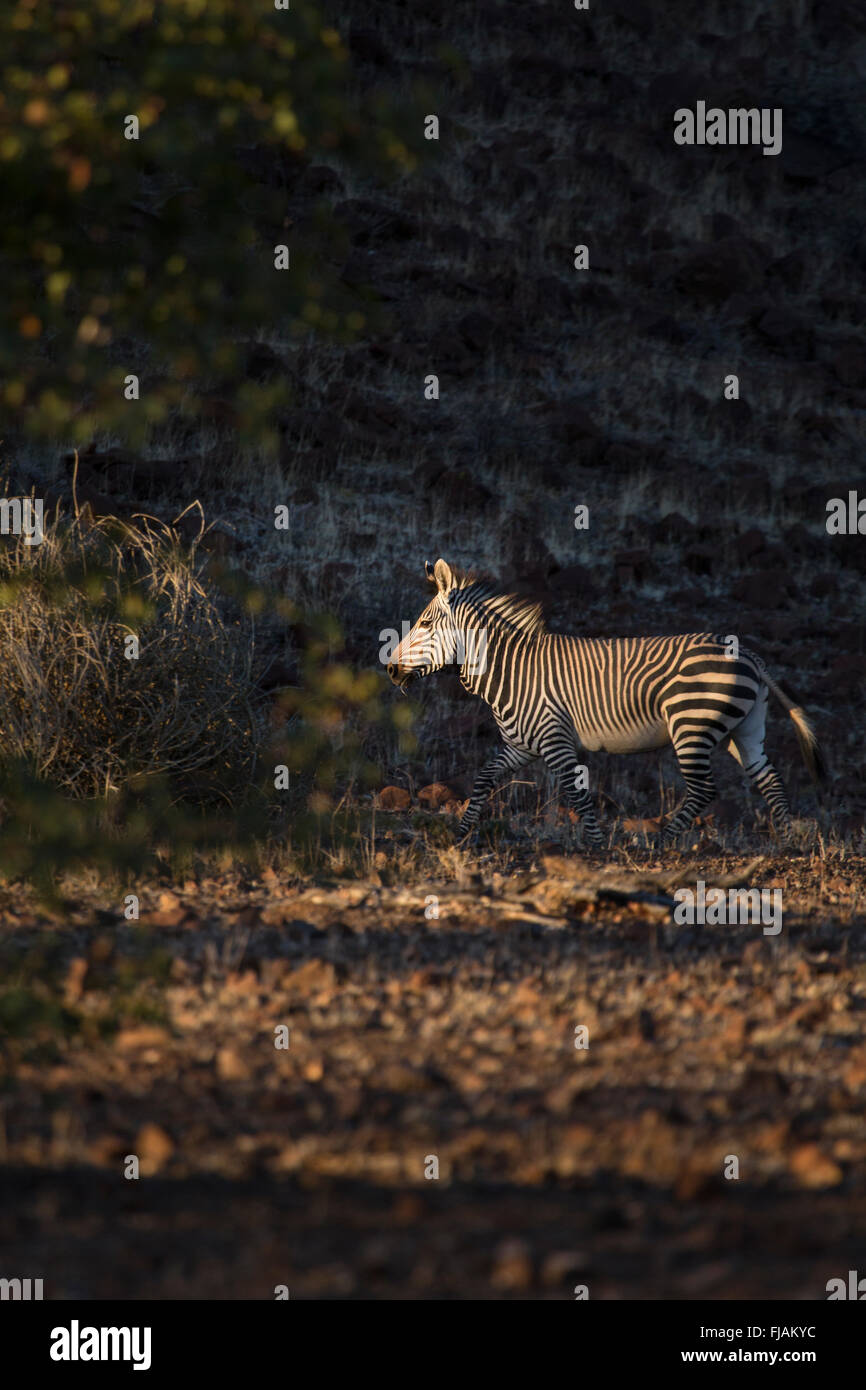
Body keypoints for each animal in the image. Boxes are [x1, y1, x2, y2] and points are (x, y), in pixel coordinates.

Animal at [386, 559, 825, 846]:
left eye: (424, 624)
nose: (390, 670)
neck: (511, 671)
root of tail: (748, 654)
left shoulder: (555, 738)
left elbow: (576, 793)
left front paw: (596, 848)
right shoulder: (522, 745)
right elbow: (483, 779)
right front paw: (461, 834)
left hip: (691, 725)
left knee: (704, 789)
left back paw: (661, 842)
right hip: (744, 729)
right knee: (768, 778)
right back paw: (788, 844)